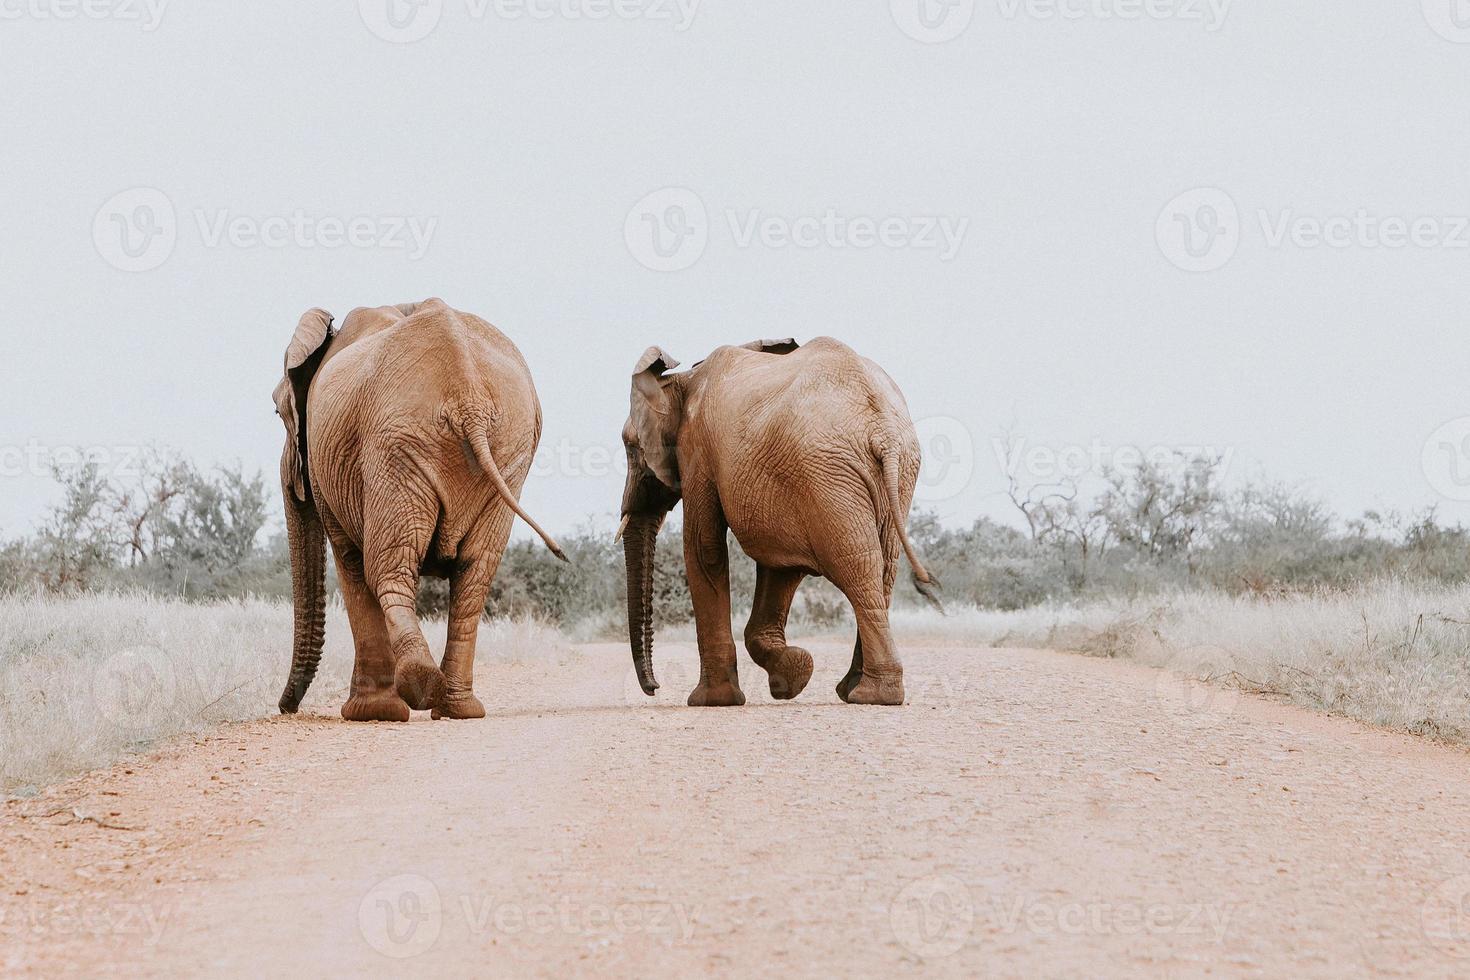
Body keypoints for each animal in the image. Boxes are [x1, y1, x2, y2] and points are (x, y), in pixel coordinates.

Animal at [270, 296, 561, 719]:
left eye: (278, 413)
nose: (286, 707)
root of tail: (468, 394)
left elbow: (349, 560)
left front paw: (368, 713)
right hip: (507, 452)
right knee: (474, 573)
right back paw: (456, 707)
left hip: (398, 446)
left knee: (386, 567)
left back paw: (418, 689)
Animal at [614, 334, 934, 705]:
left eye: (630, 446)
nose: (654, 688)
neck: (681, 380)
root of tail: (881, 427)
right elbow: (779, 564)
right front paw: (794, 675)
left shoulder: (697, 448)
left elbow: (704, 548)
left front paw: (710, 701)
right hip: (886, 471)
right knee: (884, 568)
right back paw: (855, 690)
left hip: (828, 472)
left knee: (858, 566)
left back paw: (873, 694)